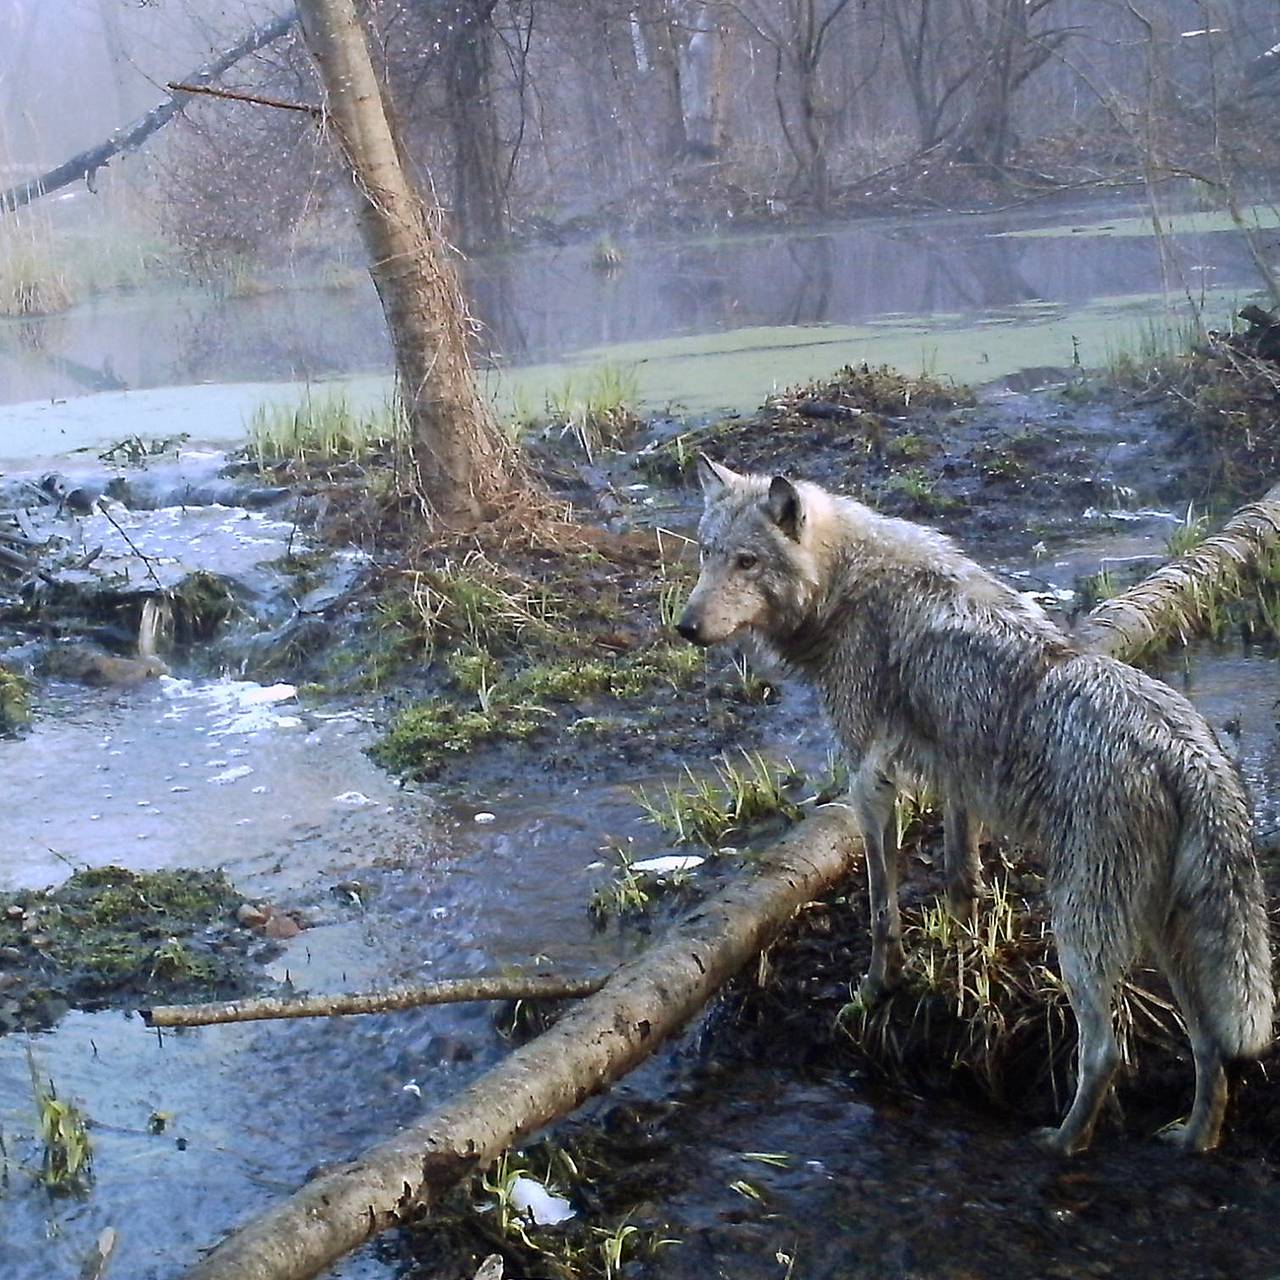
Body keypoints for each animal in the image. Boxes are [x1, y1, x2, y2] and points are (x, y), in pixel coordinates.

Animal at [675, 458, 1274, 1152]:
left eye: (746, 562)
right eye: (706, 553)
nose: (685, 628)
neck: (846, 586)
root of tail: (1186, 750)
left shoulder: (870, 781)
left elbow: (882, 909)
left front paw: (877, 990)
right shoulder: (956, 775)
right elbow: (960, 877)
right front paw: (958, 961)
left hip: (1082, 934)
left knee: (1105, 1053)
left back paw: (1061, 1144)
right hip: (1162, 935)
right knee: (1210, 1047)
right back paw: (1192, 1140)